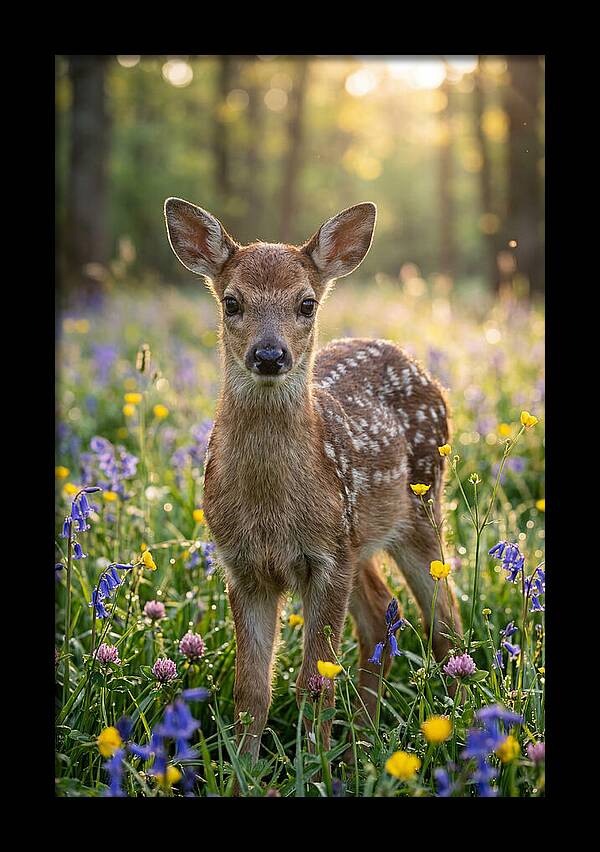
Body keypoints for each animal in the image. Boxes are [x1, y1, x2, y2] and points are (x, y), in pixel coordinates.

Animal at [164, 198, 462, 763]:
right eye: (231, 303)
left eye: (306, 304)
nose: (269, 355)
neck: (270, 511)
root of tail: (417, 366)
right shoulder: (243, 565)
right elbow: (251, 689)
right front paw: (244, 770)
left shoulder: (325, 559)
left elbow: (314, 682)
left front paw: (313, 767)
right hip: (359, 539)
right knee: (380, 616)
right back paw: (362, 744)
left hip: (418, 509)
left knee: (446, 625)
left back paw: (455, 736)